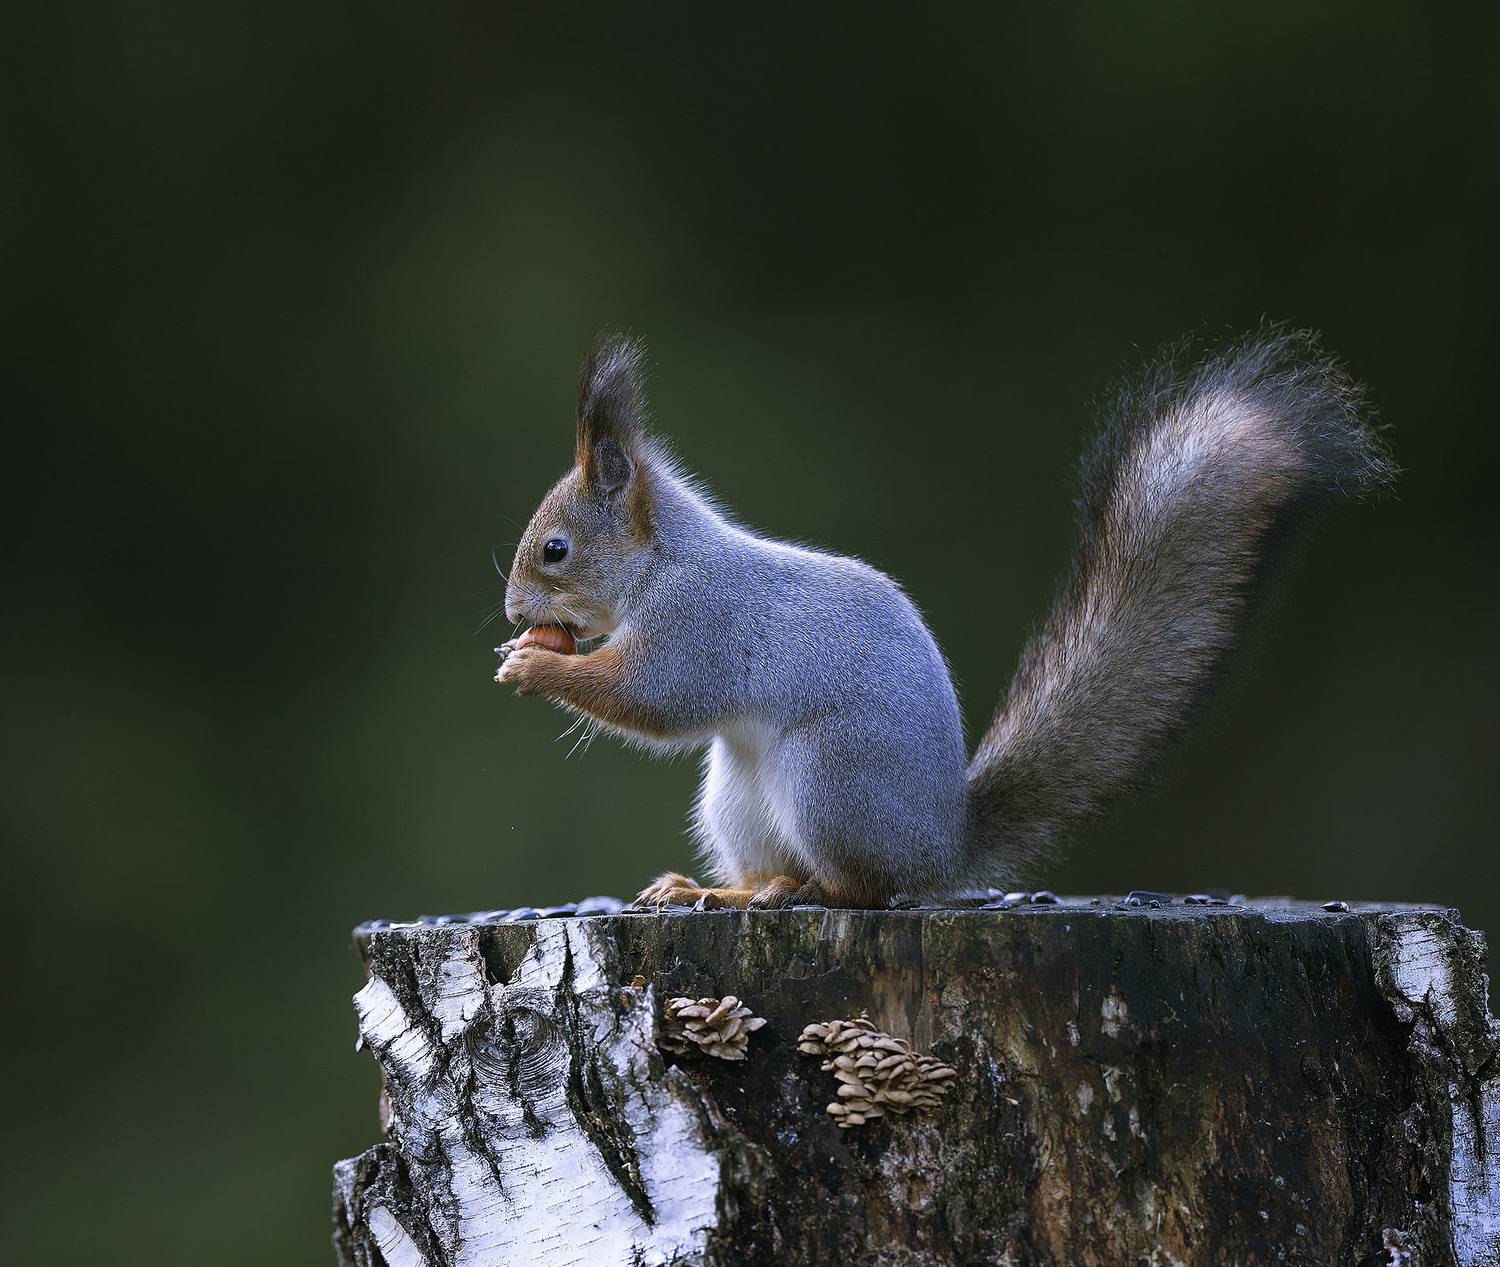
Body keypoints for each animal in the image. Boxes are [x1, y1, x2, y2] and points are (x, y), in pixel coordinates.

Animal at [496, 328, 1394, 909]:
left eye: (555, 549)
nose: (511, 610)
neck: (662, 562)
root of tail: (940, 846)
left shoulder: (698, 623)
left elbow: (654, 698)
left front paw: (535, 664)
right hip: (737, 797)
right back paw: (714, 891)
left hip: (830, 777)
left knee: (863, 889)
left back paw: (790, 891)